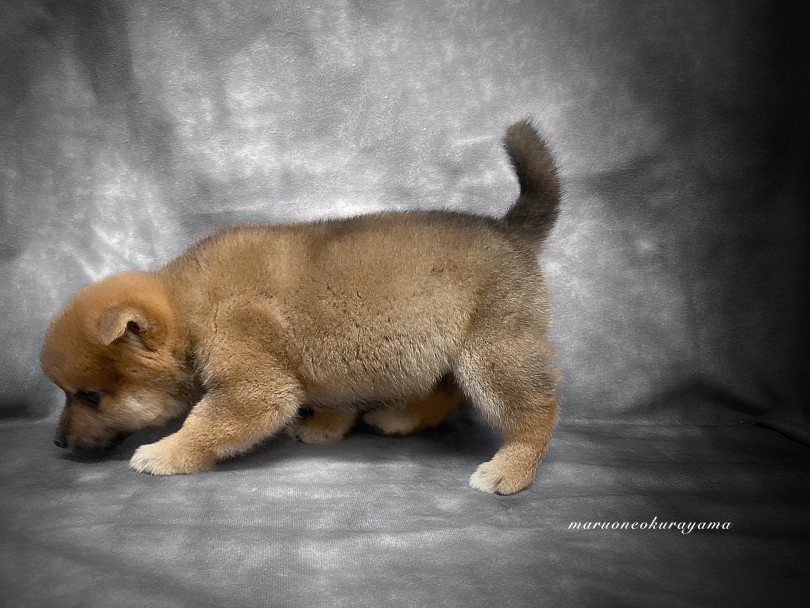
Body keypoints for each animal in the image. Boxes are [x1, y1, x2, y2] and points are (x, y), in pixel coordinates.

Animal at [42, 121, 560, 496]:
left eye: (92, 397)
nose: (57, 442)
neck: (188, 309)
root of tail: (508, 230)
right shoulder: (326, 369)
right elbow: (333, 401)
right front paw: (326, 427)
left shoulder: (254, 386)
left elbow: (204, 425)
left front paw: (166, 453)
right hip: (454, 350)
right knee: (448, 391)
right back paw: (400, 418)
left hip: (492, 354)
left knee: (538, 409)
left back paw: (512, 469)